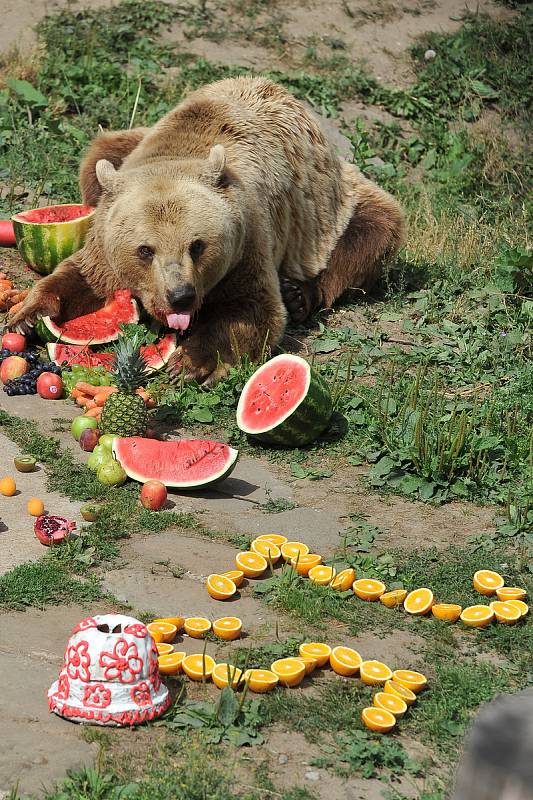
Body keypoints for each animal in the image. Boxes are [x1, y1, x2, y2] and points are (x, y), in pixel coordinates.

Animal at [11, 76, 404, 384]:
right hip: (117, 152)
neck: (179, 153)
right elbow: (82, 276)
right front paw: (27, 317)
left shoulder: (248, 237)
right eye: (145, 250)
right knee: (97, 155)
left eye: (196, 245)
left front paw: (191, 361)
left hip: (329, 204)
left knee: (373, 230)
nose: (180, 296)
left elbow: (252, 309)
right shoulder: (106, 239)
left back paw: (299, 294)